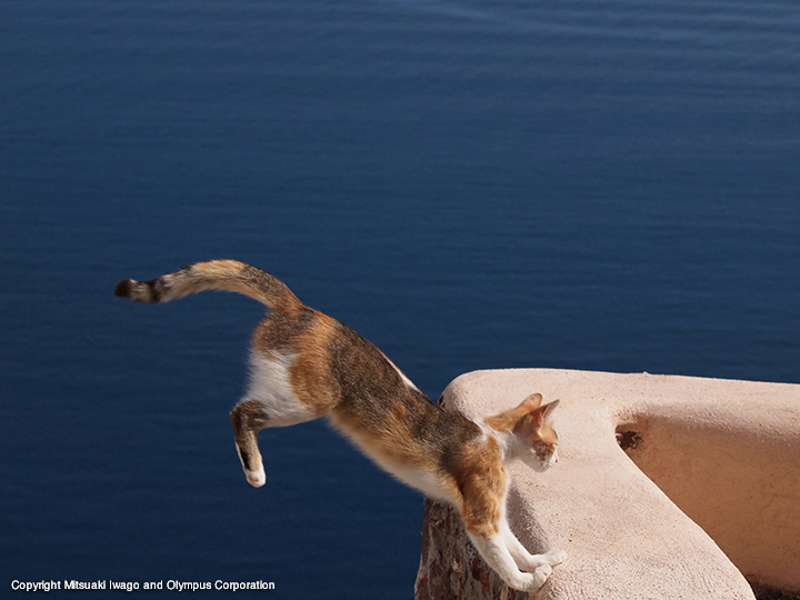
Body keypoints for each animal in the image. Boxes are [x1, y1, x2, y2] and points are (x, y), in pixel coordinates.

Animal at [115, 260, 568, 592]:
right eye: (552, 444)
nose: (556, 462)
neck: (497, 438)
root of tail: (300, 307)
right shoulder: (480, 515)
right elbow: (503, 559)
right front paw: (529, 581)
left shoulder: (494, 515)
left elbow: (515, 545)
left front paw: (541, 561)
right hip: (308, 399)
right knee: (240, 412)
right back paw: (255, 472)